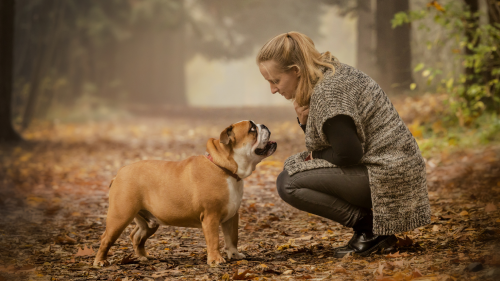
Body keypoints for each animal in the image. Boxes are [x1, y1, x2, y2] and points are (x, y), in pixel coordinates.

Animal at [94, 120, 278, 264]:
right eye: (252, 129)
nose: (264, 125)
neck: (225, 168)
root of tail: (118, 174)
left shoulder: (231, 217)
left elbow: (232, 237)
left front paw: (235, 254)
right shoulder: (211, 216)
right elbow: (214, 240)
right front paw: (216, 260)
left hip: (149, 222)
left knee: (136, 236)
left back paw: (143, 257)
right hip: (120, 216)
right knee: (106, 238)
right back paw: (100, 261)